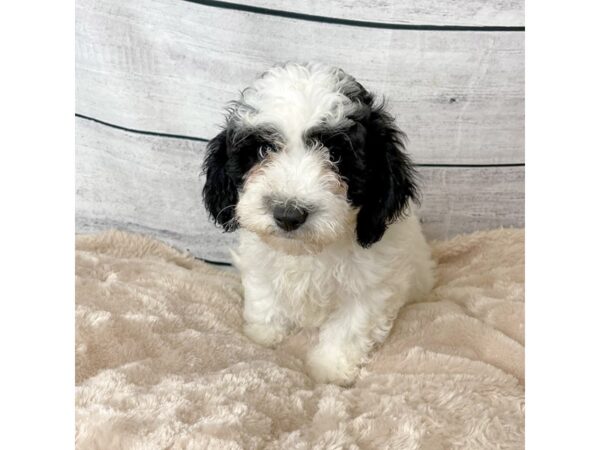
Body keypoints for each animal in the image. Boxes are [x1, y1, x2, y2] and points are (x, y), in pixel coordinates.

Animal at [204, 62, 434, 386]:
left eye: (336, 156)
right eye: (263, 151)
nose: (288, 214)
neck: (309, 251)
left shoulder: (372, 286)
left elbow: (350, 328)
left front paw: (330, 368)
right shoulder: (260, 261)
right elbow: (264, 296)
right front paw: (263, 335)